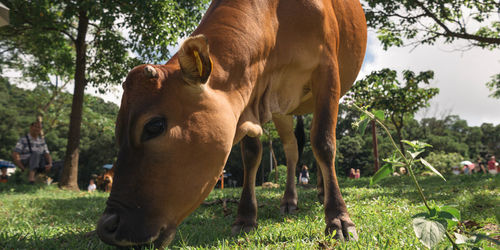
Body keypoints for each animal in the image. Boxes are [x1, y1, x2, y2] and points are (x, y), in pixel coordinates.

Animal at [96, 0, 368, 246]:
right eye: (118, 132)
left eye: (154, 126)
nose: (107, 226)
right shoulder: (251, 96)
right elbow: (251, 155)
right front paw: (246, 218)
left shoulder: (327, 70)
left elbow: (324, 143)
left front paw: (339, 219)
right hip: (283, 111)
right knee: (291, 150)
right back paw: (289, 200)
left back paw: (322, 191)